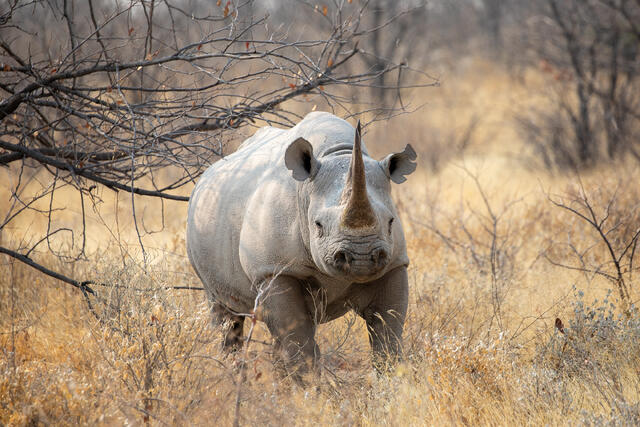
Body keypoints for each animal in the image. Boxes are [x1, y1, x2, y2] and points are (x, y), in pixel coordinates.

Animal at [186, 112, 416, 375]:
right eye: (318, 225)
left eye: (391, 222)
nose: (361, 258)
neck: (338, 154)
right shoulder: (274, 269)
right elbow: (295, 334)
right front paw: (309, 384)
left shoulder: (394, 264)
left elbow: (387, 331)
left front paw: (393, 378)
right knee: (226, 314)